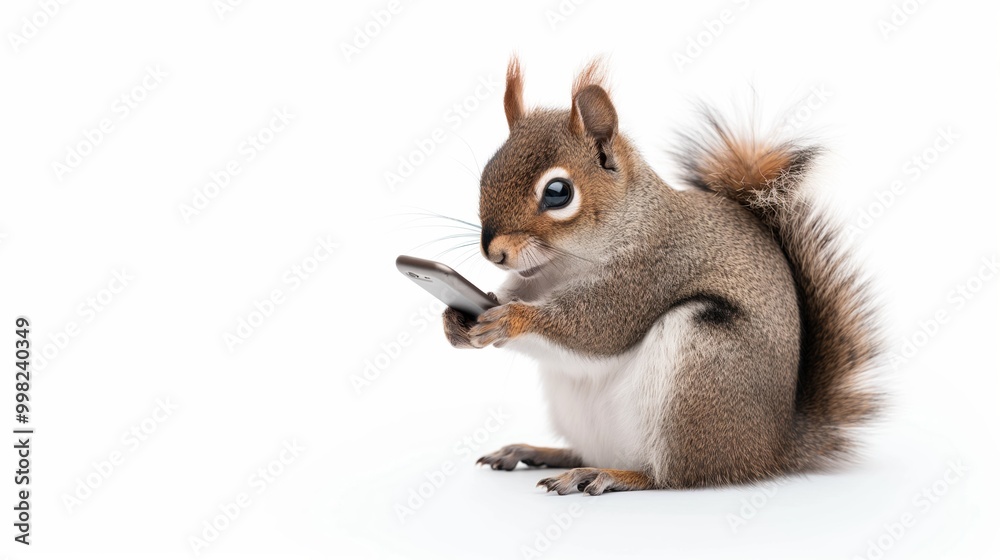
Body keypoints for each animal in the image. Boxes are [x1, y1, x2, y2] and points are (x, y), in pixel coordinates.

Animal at [441, 57, 881, 495]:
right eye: (486, 174)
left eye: (557, 192)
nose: (494, 252)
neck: (567, 263)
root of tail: (769, 451)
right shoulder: (534, 279)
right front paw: (455, 321)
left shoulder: (653, 270)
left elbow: (597, 329)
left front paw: (512, 319)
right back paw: (538, 453)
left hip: (700, 374)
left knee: (672, 476)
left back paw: (607, 475)